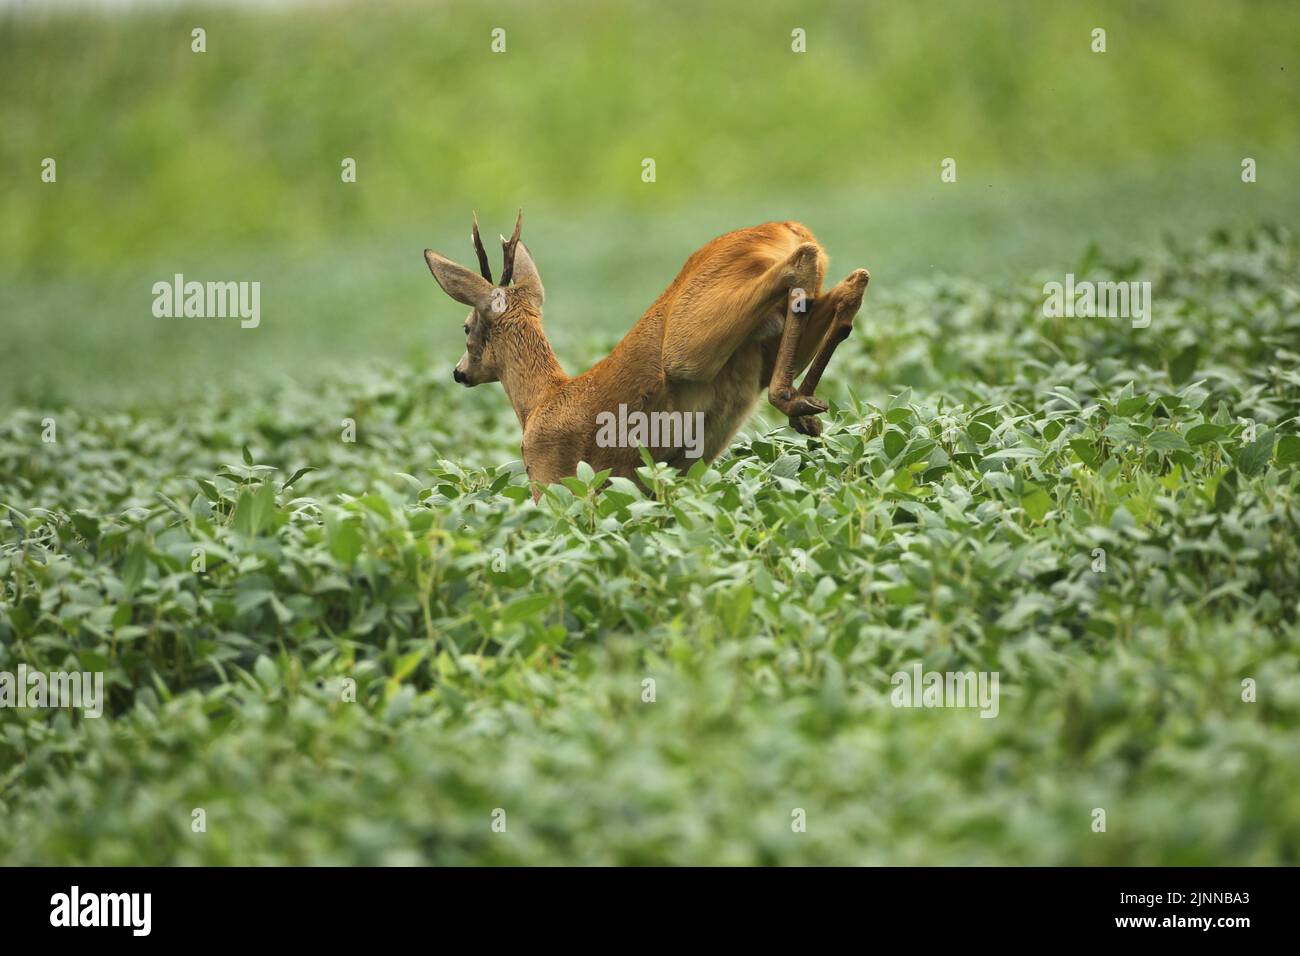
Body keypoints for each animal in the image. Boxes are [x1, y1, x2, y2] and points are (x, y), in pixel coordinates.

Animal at [422, 212, 869, 498]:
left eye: (466, 327)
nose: (459, 372)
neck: (540, 401)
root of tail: (784, 228)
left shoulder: (554, 480)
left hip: (688, 344)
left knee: (804, 261)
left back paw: (792, 402)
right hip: (760, 345)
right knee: (850, 282)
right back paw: (807, 409)